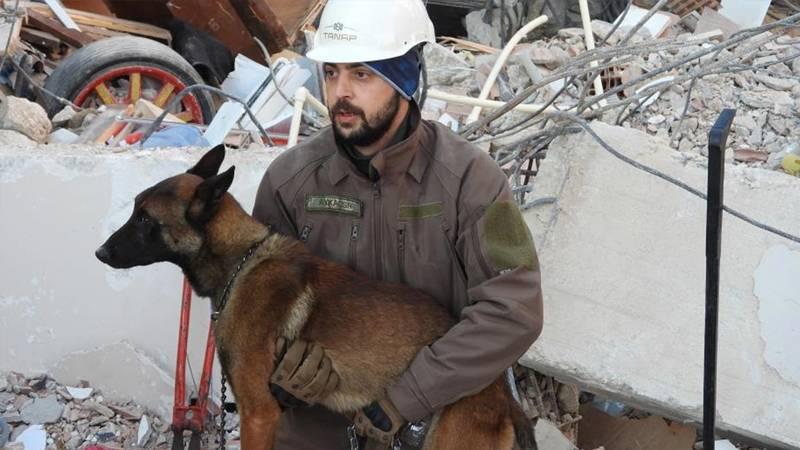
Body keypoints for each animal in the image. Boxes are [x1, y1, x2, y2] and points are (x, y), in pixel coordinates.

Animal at [97, 146, 536, 448]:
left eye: (145, 219)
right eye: (135, 210)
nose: (99, 252)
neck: (241, 260)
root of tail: (503, 395)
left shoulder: (258, 414)